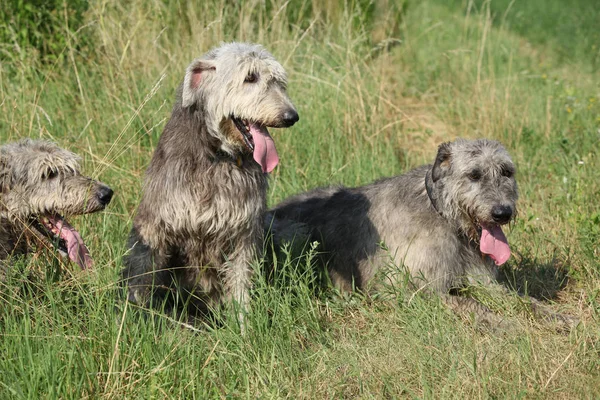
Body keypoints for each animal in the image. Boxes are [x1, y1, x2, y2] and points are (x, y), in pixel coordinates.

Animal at [122, 41, 300, 322]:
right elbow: (142, 272)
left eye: (278, 81)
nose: (291, 116)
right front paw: (139, 316)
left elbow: (240, 280)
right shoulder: (156, 223)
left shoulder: (244, 231)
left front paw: (243, 324)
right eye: (250, 77)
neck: (218, 157)